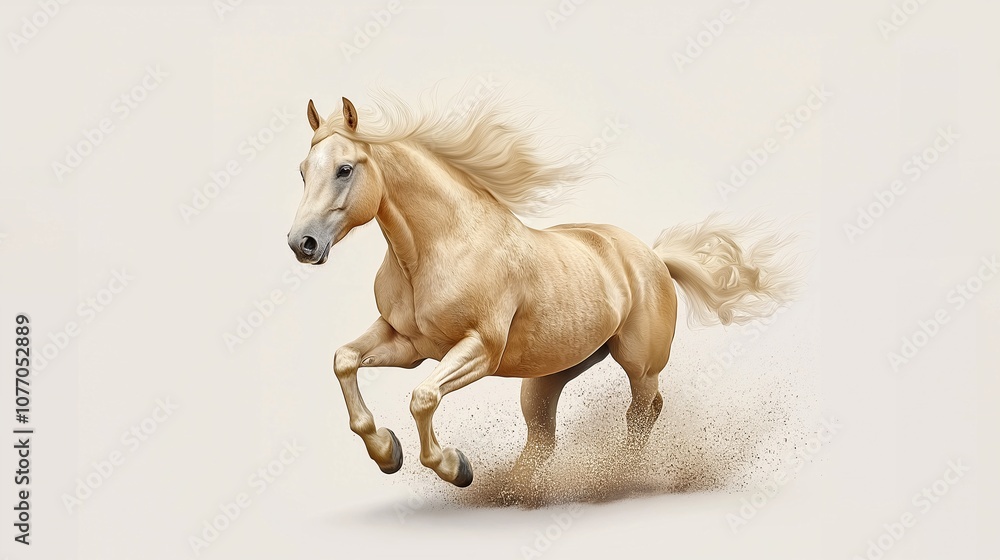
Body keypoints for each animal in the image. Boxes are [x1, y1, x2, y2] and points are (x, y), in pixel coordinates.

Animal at [286, 94, 799, 489]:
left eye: (345, 169)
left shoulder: (480, 349)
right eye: (303, 171)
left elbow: (423, 397)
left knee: (643, 412)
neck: (437, 249)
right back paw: (514, 489)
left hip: (640, 364)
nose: (302, 244)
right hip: (547, 377)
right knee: (543, 438)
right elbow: (345, 360)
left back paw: (619, 476)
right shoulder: (409, 344)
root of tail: (653, 257)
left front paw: (455, 467)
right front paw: (386, 452)